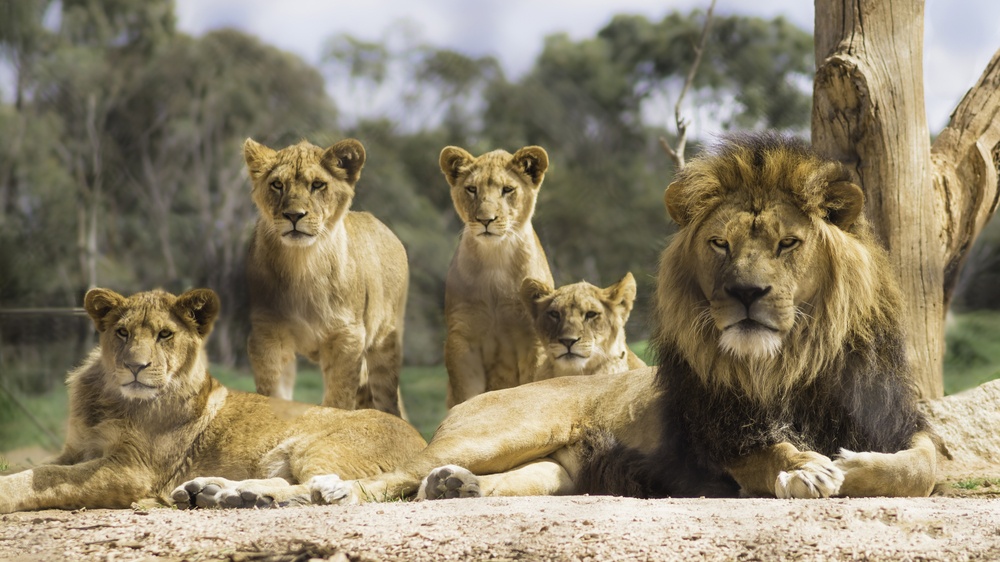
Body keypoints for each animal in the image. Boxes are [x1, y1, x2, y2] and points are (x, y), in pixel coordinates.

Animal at [0, 286, 426, 510]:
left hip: (317, 446)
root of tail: (421, 442)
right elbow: (34, 467)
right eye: (121, 333)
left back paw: (245, 496)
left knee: (331, 490)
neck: (111, 398)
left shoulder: (131, 470)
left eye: (165, 335)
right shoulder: (76, 450)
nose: (135, 366)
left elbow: (45, 477)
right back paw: (215, 491)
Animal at [244, 138, 408, 414]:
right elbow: (273, 391)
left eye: (318, 185)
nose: (294, 215)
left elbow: (339, 398)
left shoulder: (347, 335)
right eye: (277, 184)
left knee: (388, 403)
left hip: (384, 344)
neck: (301, 264)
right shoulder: (267, 333)